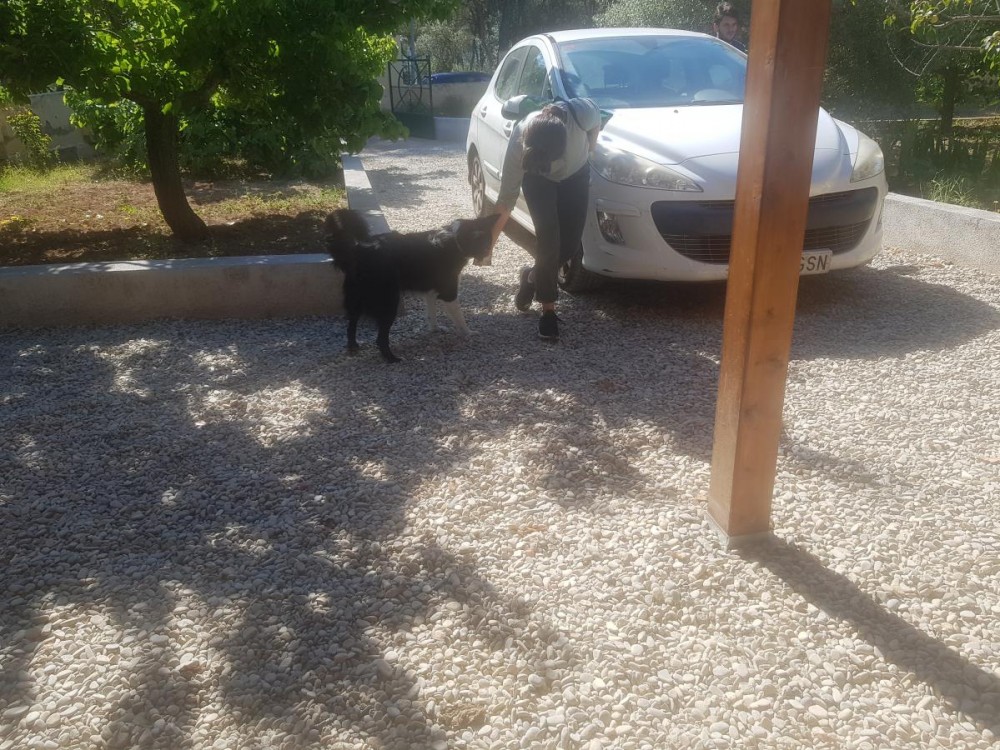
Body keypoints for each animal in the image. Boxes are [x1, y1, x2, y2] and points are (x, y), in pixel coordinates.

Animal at [324, 208, 498, 363]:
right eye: (485, 243)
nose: (486, 255)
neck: (456, 240)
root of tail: (357, 251)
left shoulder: (431, 292)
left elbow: (431, 314)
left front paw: (435, 330)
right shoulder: (449, 293)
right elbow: (459, 317)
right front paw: (468, 333)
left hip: (357, 300)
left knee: (351, 324)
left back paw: (353, 346)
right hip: (389, 303)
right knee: (380, 338)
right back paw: (392, 359)